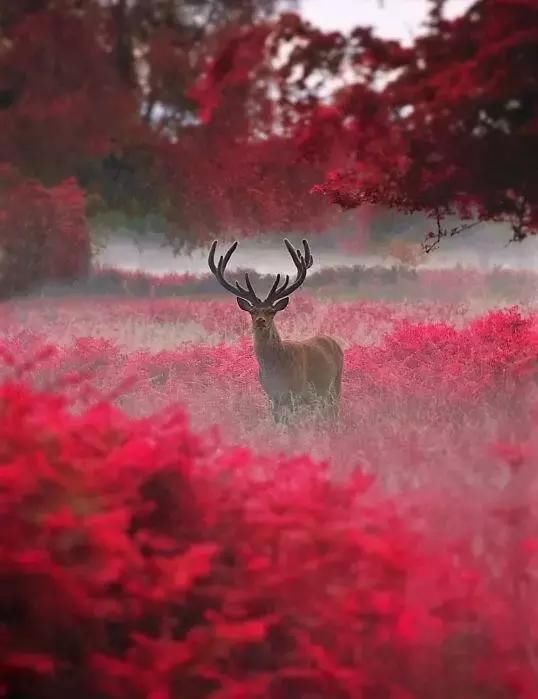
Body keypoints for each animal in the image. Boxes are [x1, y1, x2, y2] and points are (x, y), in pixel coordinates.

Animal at [207, 241, 342, 424]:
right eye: (252, 311)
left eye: (271, 311)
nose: (260, 320)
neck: (275, 368)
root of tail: (333, 341)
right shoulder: (271, 395)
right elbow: (276, 420)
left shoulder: (295, 392)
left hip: (335, 383)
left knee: (333, 409)